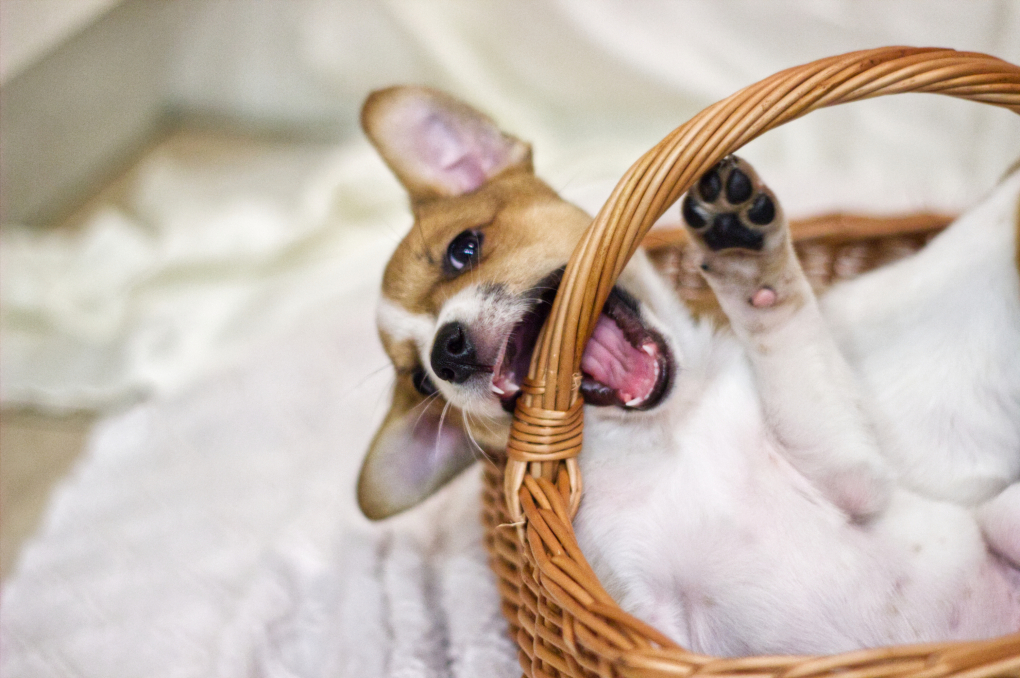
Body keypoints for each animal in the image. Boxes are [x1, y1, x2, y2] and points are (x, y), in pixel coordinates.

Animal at [357, 87, 1020, 652]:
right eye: (419, 381)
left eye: (463, 249)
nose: (445, 352)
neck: (668, 432)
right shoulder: (645, 621)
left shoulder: (851, 477)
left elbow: (782, 329)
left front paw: (748, 265)